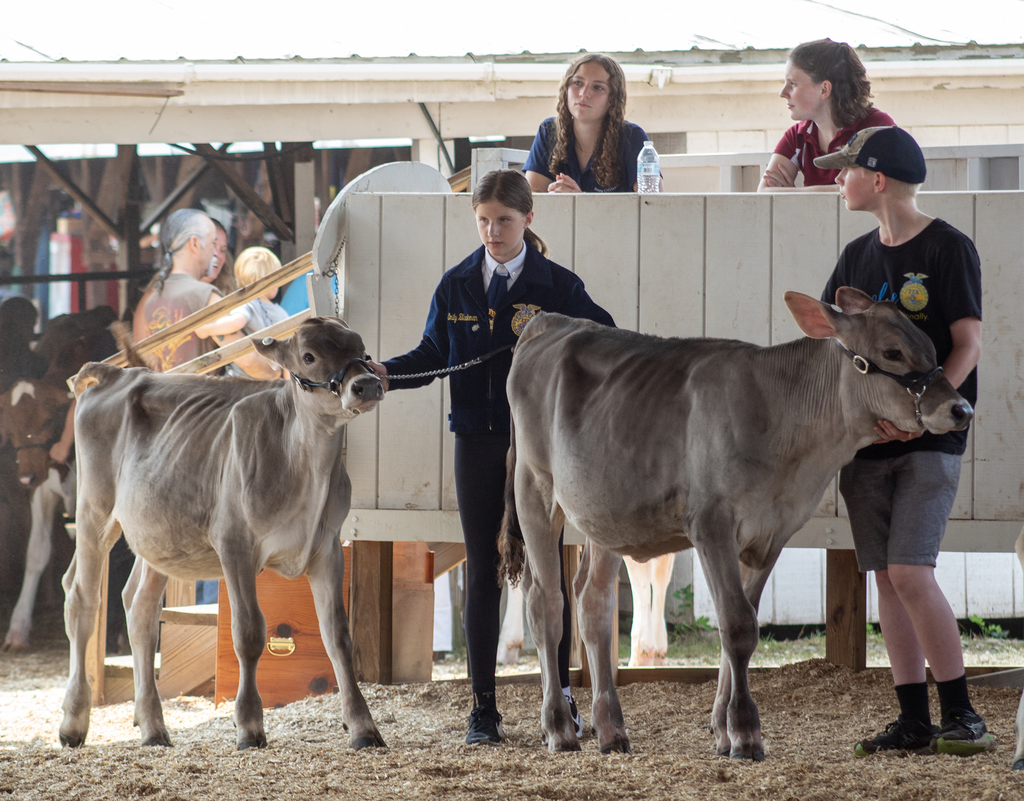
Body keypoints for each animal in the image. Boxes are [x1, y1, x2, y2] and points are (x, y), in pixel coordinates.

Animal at [59, 316, 387, 751]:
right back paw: (73, 723)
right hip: (95, 510)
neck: (304, 465)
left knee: (140, 606)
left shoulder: (327, 547)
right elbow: (248, 633)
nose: (366, 383)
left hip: (158, 533)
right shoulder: (235, 544)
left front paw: (363, 726)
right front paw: (248, 725)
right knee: (82, 598)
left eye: (362, 349)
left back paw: (153, 726)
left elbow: (338, 636)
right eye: (309, 356)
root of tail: (121, 373)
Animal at [498, 288, 973, 759]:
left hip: (605, 515)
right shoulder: (712, 524)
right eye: (892, 352)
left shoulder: (771, 534)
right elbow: (738, 626)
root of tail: (551, 322)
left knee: (592, 601)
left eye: (932, 347)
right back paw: (559, 727)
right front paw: (745, 732)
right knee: (546, 602)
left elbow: (740, 628)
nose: (962, 408)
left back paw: (611, 729)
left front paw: (723, 731)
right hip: (534, 488)